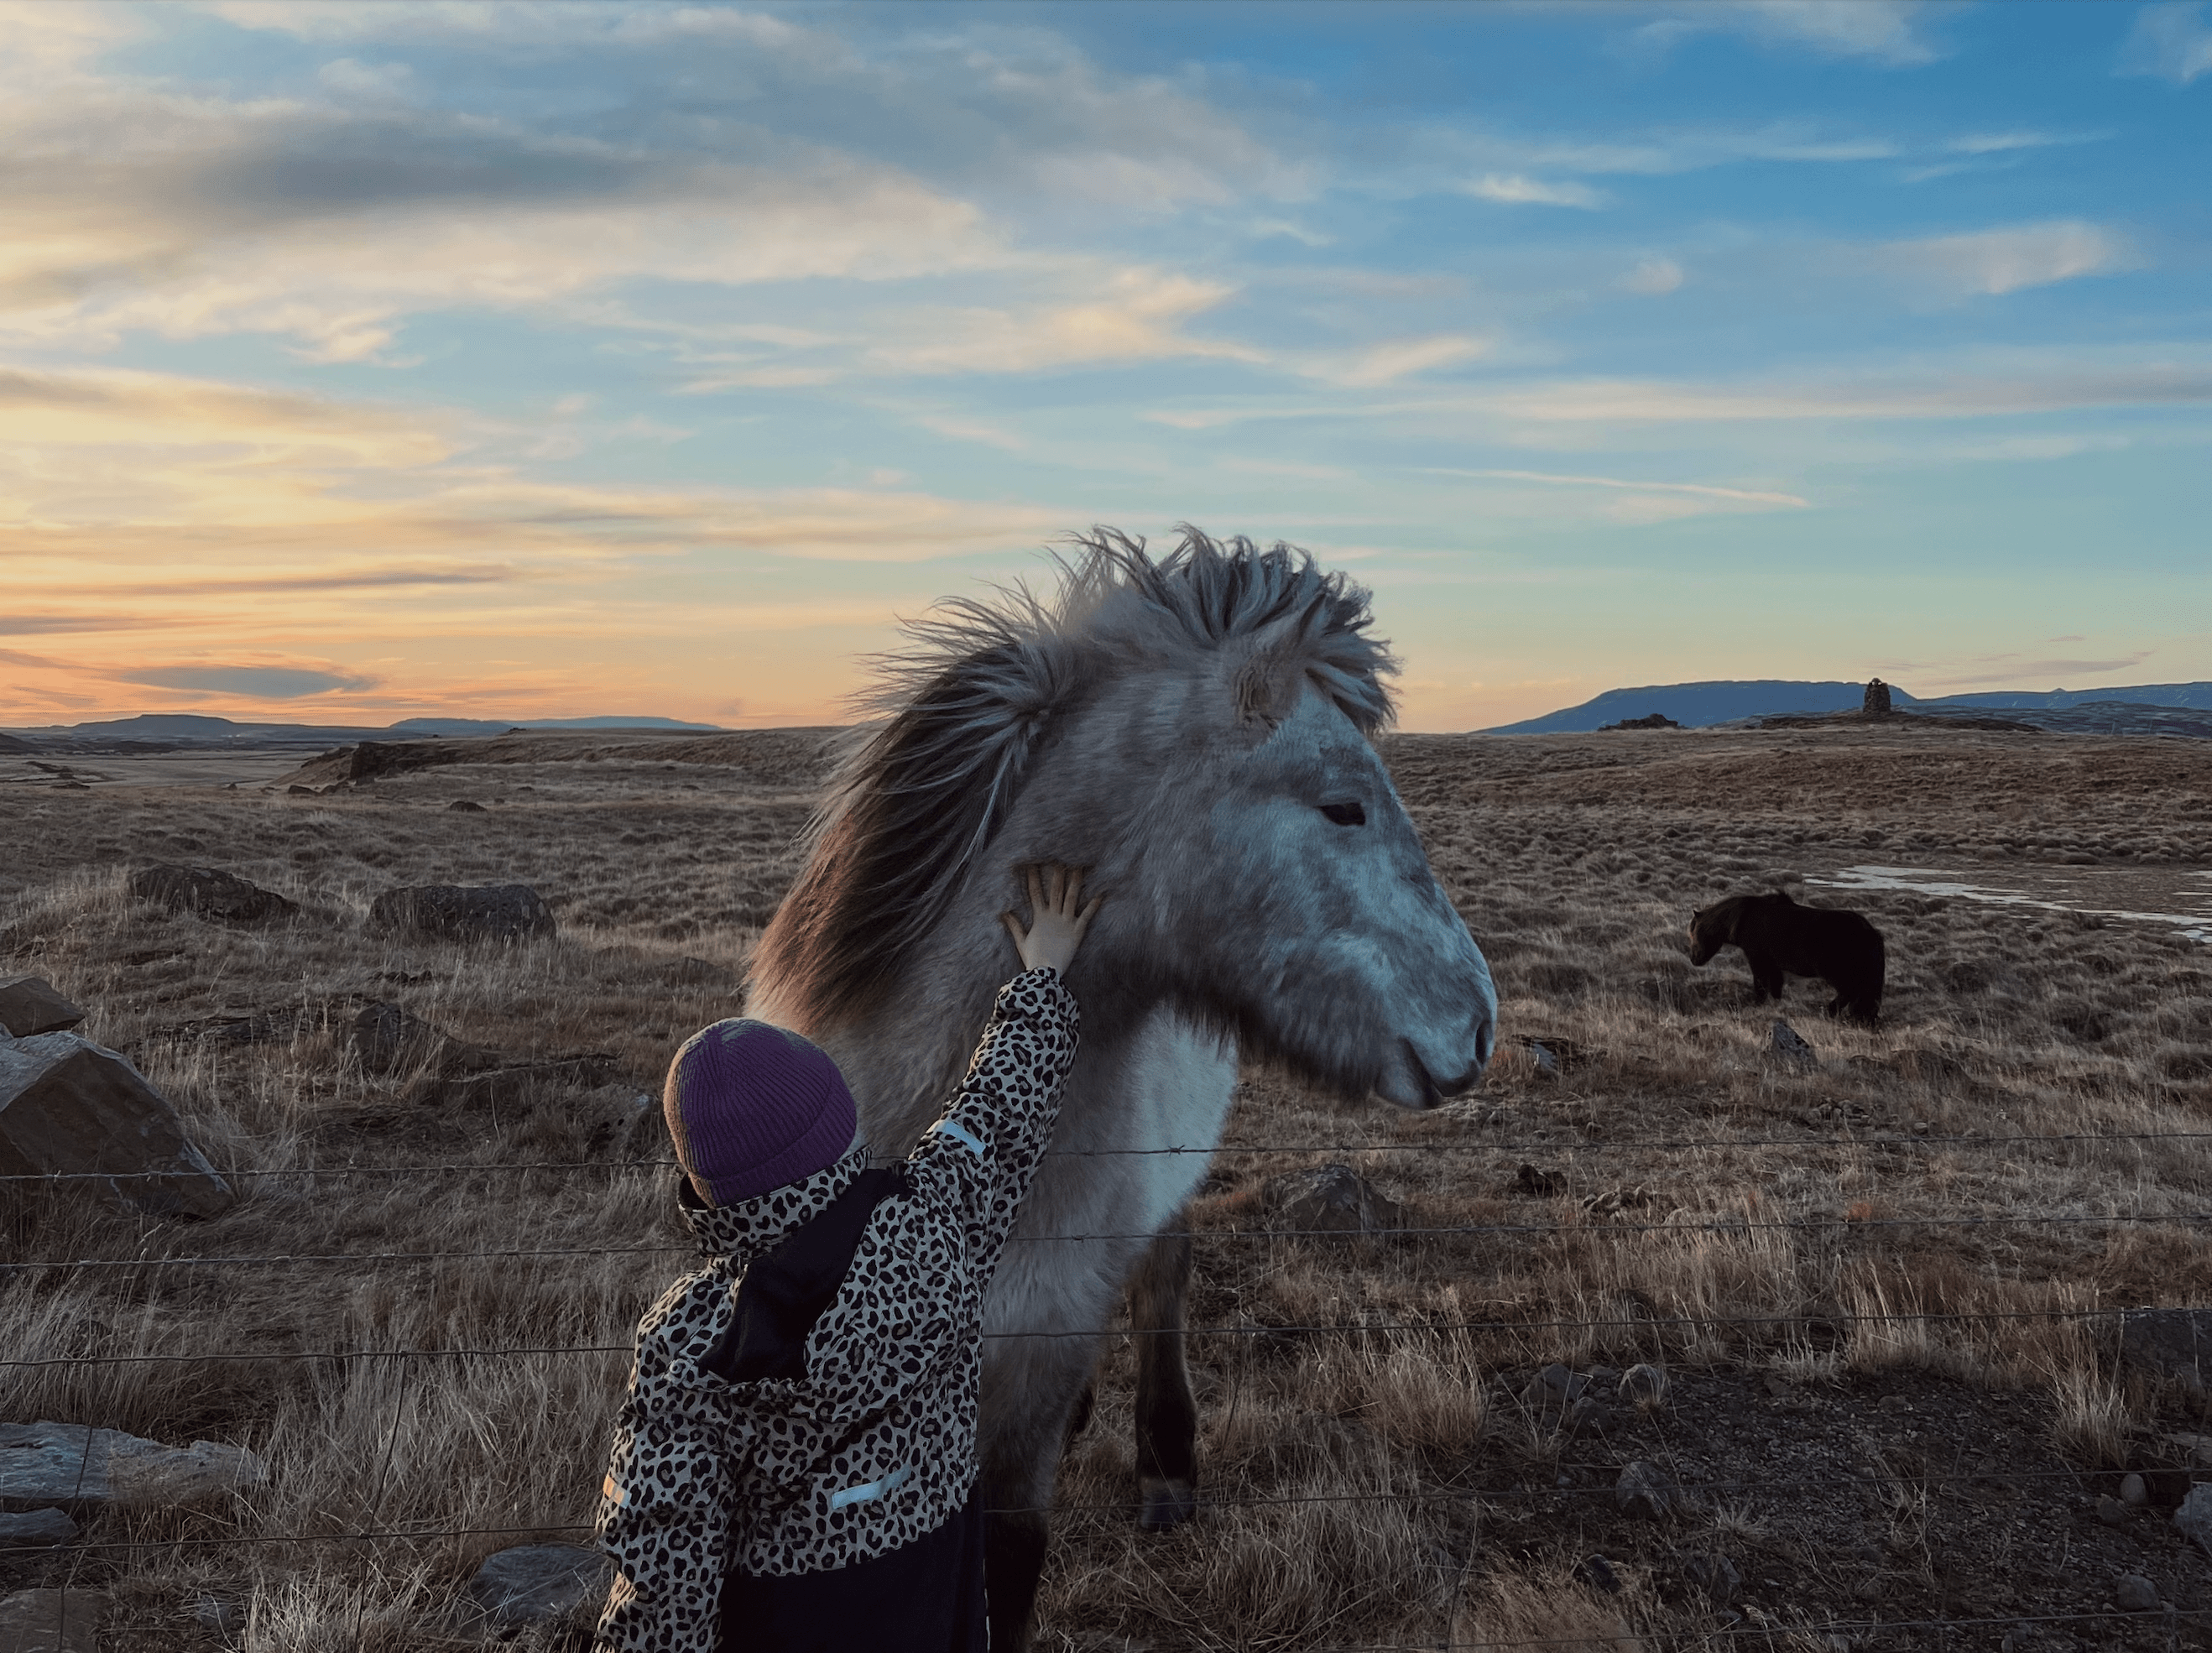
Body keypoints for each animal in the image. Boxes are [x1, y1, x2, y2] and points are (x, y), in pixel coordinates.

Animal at [747, 526, 1497, 1648]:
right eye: (1342, 805)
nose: (1478, 1023)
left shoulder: (1032, 1364)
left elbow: (1008, 1561)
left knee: (1163, 1272)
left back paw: (1164, 1460)